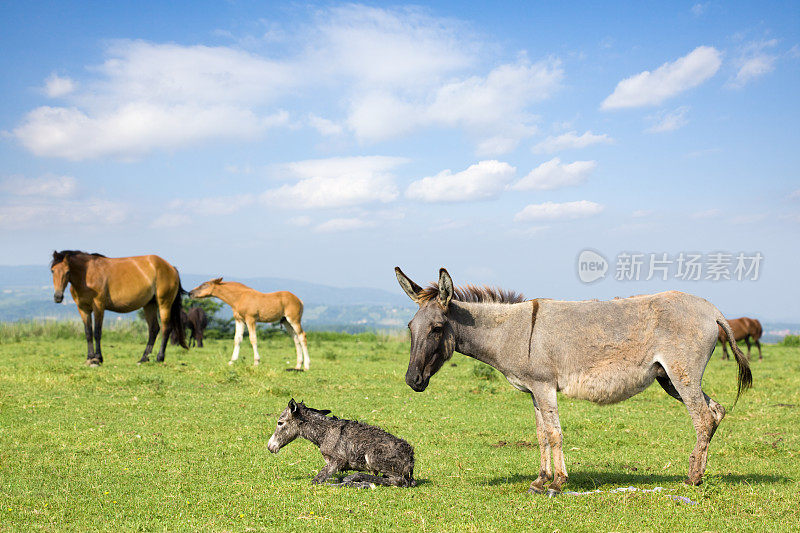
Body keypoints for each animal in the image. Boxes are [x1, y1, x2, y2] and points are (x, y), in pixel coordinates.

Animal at [50, 250, 188, 366]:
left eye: (67, 271)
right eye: (52, 270)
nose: (58, 297)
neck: (87, 274)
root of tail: (171, 268)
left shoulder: (99, 307)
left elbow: (97, 332)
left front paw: (98, 358)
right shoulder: (83, 309)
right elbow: (88, 333)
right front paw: (89, 358)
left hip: (164, 304)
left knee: (166, 328)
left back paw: (159, 358)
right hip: (149, 304)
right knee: (154, 329)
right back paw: (143, 359)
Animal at [270, 396, 418, 488]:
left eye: (280, 422)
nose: (270, 446)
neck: (323, 434)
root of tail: (410, 459)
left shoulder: (337, 461)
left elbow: (317, 481)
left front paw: (356, 483)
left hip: (373, 457)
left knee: (398, 481)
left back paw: (357, 478)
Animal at [396, 266, 752, 494]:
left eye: (437, 329)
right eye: (411, 327)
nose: (412, 380)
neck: (511, 331)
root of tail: (713, 310)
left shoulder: (544, 386)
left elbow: (555, 434)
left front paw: (557, 483)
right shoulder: (533, 390)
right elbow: (540, 434)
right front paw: (540, 481)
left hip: (682, 375)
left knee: (702, 418)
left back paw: (692, 479)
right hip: (670, 378)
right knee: (716, 411)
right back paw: (700, 472)